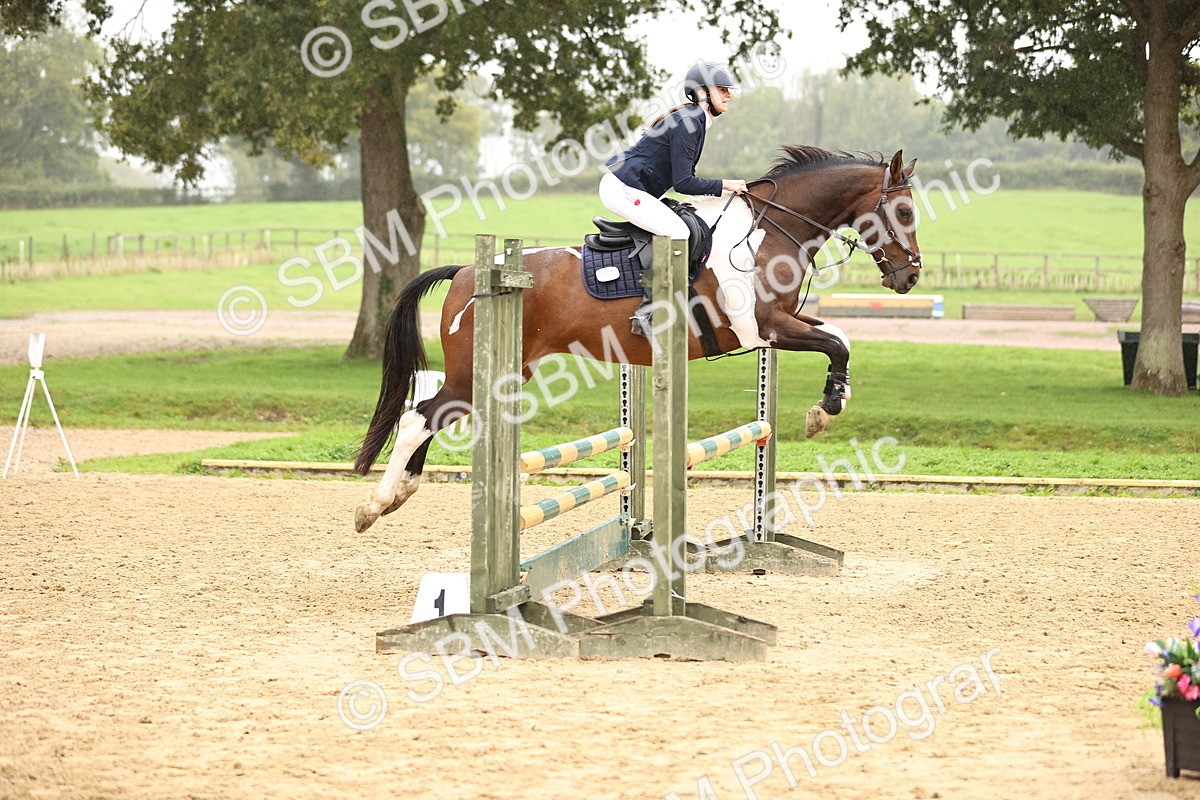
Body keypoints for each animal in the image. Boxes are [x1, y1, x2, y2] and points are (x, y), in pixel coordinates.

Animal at [353, 146, 922, 533]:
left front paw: (833, 398)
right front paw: (825, 410)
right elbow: (837, 343)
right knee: (418, 417)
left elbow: (840, 337)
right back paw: (375, 505)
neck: (769, 232)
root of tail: (468, 271)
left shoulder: (782, 323)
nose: (911, 277)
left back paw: (401, 491)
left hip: (501, 373)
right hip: (478, 374)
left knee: (429, 413)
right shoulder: (767, 328)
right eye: (905, 213)